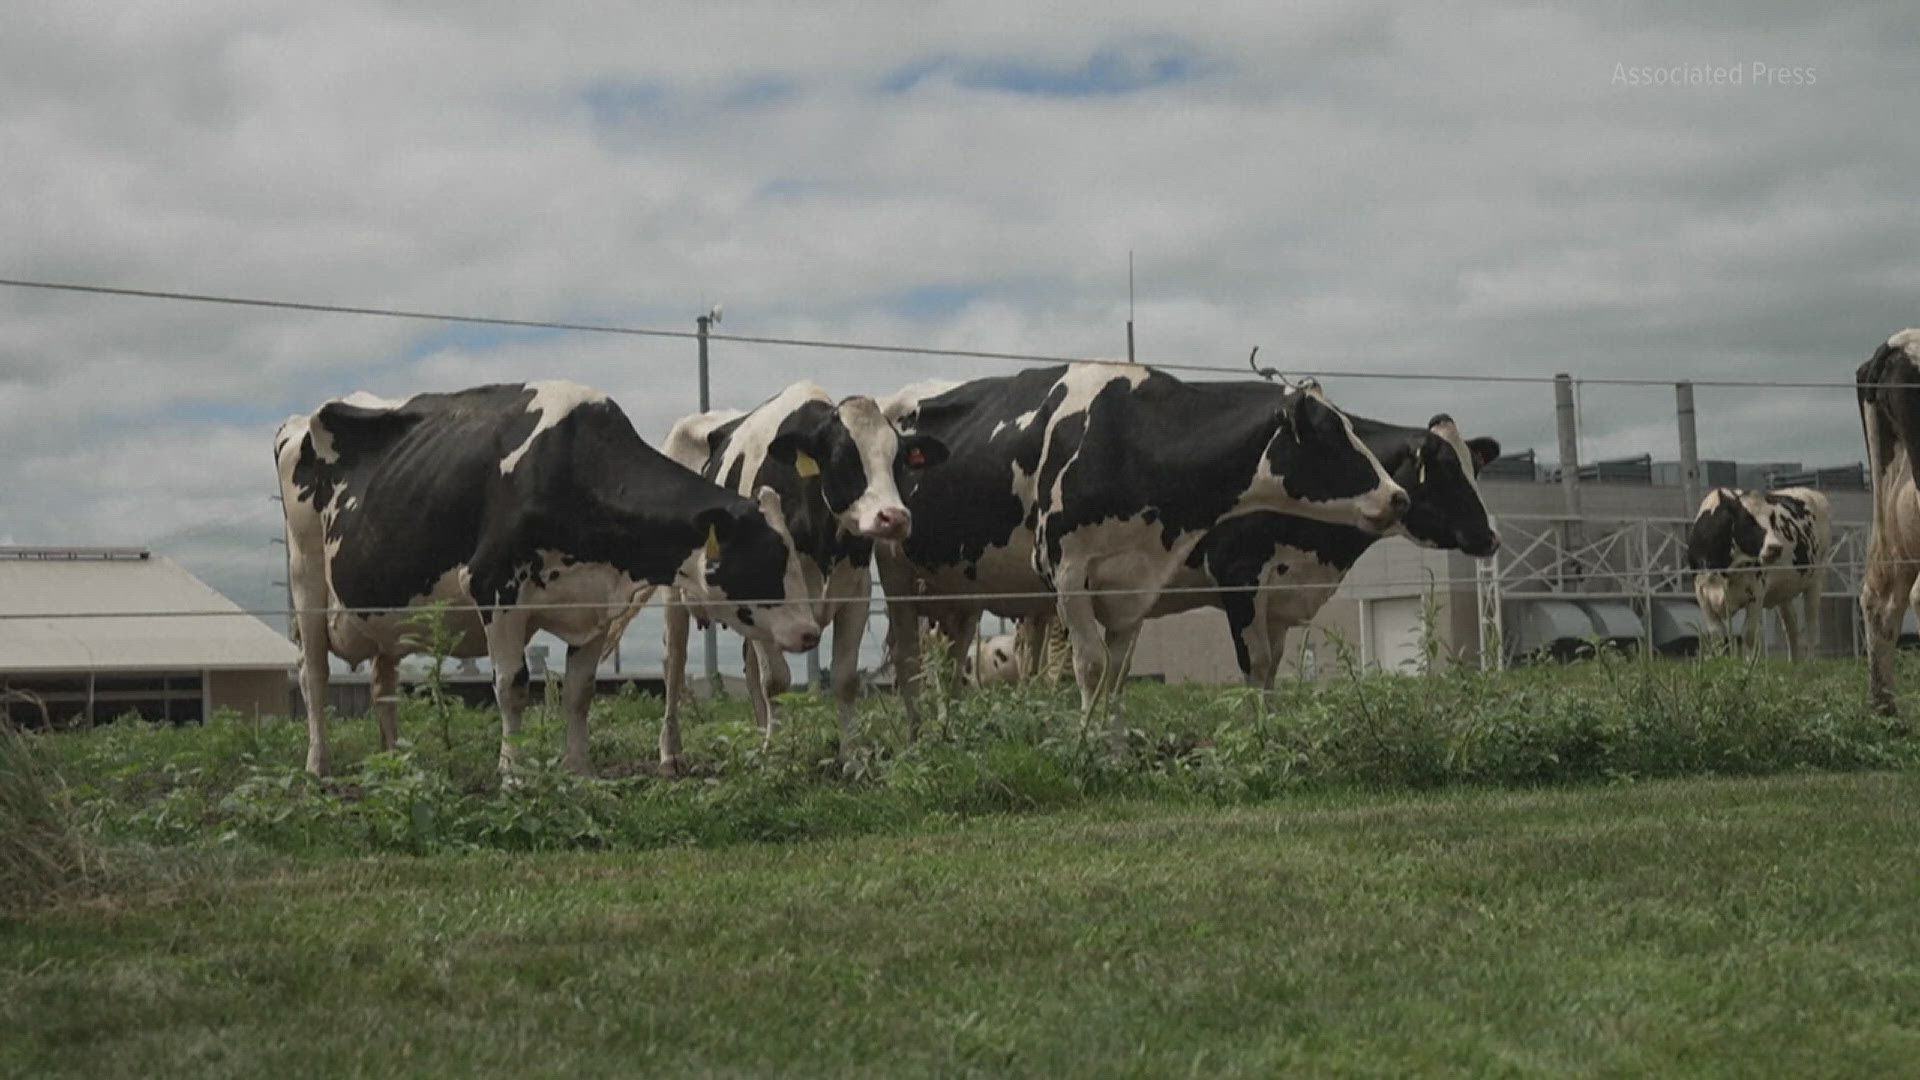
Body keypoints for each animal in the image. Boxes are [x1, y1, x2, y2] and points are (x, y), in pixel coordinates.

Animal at [276, 378, 817, 772]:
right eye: (768, 557)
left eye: (792, 556)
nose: (811, 631)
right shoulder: (495, 587)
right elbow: (512, 686)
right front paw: (513, 775)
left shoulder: (597, 606)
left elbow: (579, 693)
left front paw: (579, 773)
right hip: (306, 581)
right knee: (313, 675)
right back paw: (318, 767)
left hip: (381, 611)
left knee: (382, 683)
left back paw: (395, 761)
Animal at [656, 382, 948, 768]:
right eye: (842, 459)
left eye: (898, 462)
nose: (895, 517)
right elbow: (776, 681)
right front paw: (778, 756)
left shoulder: (855, 593)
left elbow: (843, 678)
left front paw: (851, 757)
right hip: (673, 596)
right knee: (674, 663)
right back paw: (670, 752)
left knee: (749, 668)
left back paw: (760, 734)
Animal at [879, 359, 1405, 722]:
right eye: (1328, 433)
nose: (1397, 496)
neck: (1127, 439)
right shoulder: (1067, 572)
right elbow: (1090, 668)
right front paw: (1086, 750)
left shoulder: (1135, 580)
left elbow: (1117, 674)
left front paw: (1115, 752)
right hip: (897, 576)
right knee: (909, 663)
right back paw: (919, 740)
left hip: (959, 589)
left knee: (951, 669)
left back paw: (952, 735)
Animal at [1681, 486, 1827, 657]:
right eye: (1747, 519)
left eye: (1772, 519)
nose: (1775, 548)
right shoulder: (1702, 593)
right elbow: (1718, 635)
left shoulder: (1756, 593)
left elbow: (1748, 634)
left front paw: (1749, 662)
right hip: (1783, 591)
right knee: (1791, 627)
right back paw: (1794, 661)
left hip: (1815, 581)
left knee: (1812, 626)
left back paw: (1810, 661)